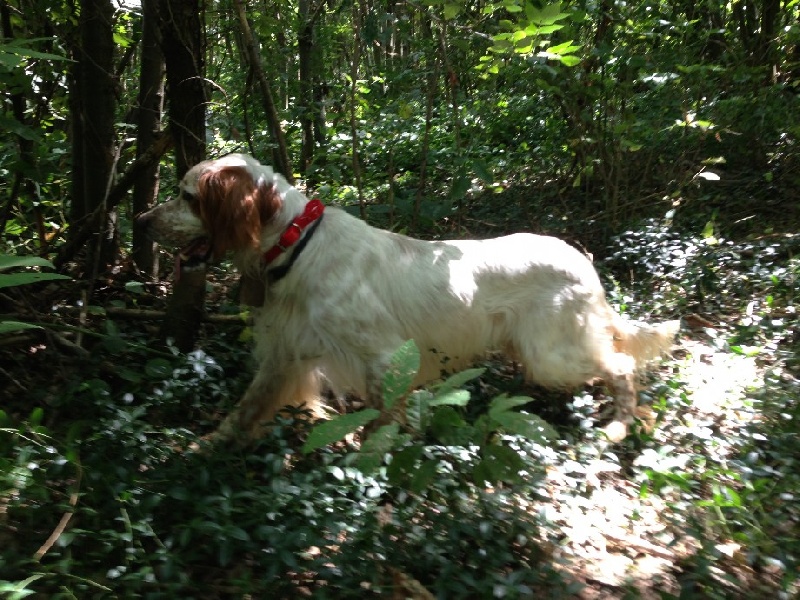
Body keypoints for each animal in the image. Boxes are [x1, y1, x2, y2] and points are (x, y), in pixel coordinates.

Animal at [137, 153, 678, 443]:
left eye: (187, 196)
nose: (140, 220)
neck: (297, 241)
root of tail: (584, 262)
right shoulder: (285, 351)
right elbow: (247, 406)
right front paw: (206, 447)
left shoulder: (381, 355)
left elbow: (382, 418)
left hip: (552, 354)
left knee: (622, 365)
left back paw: (619, 425)